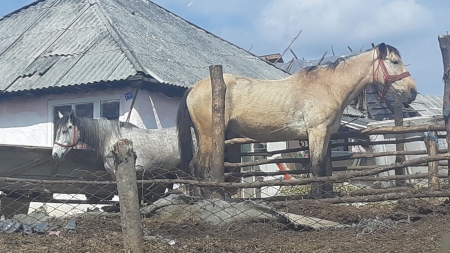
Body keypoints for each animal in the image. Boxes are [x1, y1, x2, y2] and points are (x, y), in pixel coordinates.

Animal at [177, 43, 418, 198]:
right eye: (395, 61)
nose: (412, 92)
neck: (329, 86)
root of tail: (194, 88)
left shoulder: (325, 134)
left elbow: (324, 166)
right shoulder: (316, 132)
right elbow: (317, 166)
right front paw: (316, 197)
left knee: (194, 166)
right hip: (208, 135)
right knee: (199, 167)